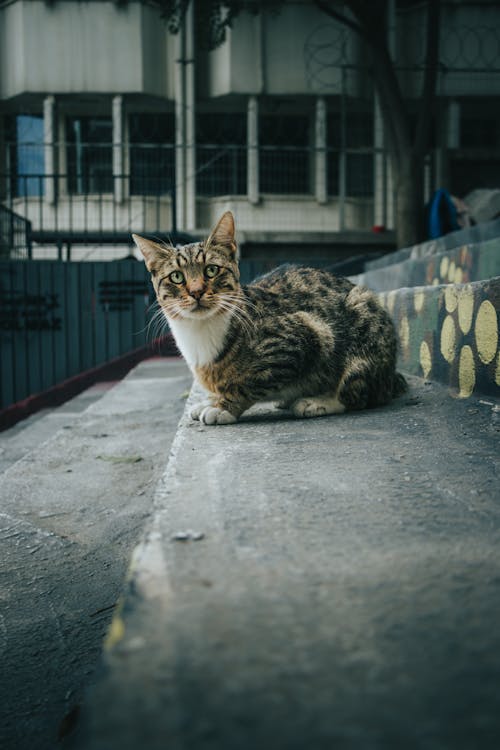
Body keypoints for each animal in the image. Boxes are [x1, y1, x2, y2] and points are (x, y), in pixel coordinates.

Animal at [134, 212, 406, 426]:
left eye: (211, 270)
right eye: (177, 277)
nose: (197, 291)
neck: (200, 334)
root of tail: (391, 375)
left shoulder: (303, 336)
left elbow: (248, 382)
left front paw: (222, 406)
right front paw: (211, 399)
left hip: (362, 317)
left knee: (359, 392)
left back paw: (318, 401)